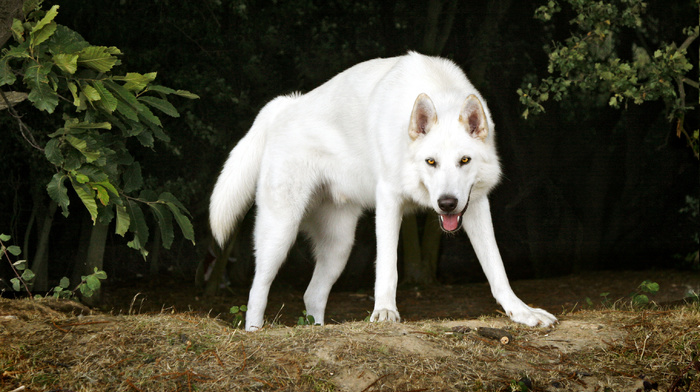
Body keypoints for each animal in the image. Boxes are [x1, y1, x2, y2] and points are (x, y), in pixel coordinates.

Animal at [211, 52, 560, 330]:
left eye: (464, 160)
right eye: (431, 162)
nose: (446, 203)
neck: (439, 92)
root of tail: (285, 105)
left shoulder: (475, 205)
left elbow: (496, 268)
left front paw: (522, 312)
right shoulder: (389, 201)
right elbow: (388, 267)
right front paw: (385, 313)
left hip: (339, 247)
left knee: (312, 295)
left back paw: (317, 330)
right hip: (280, 234)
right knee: (257, 290)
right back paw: (255, 332)